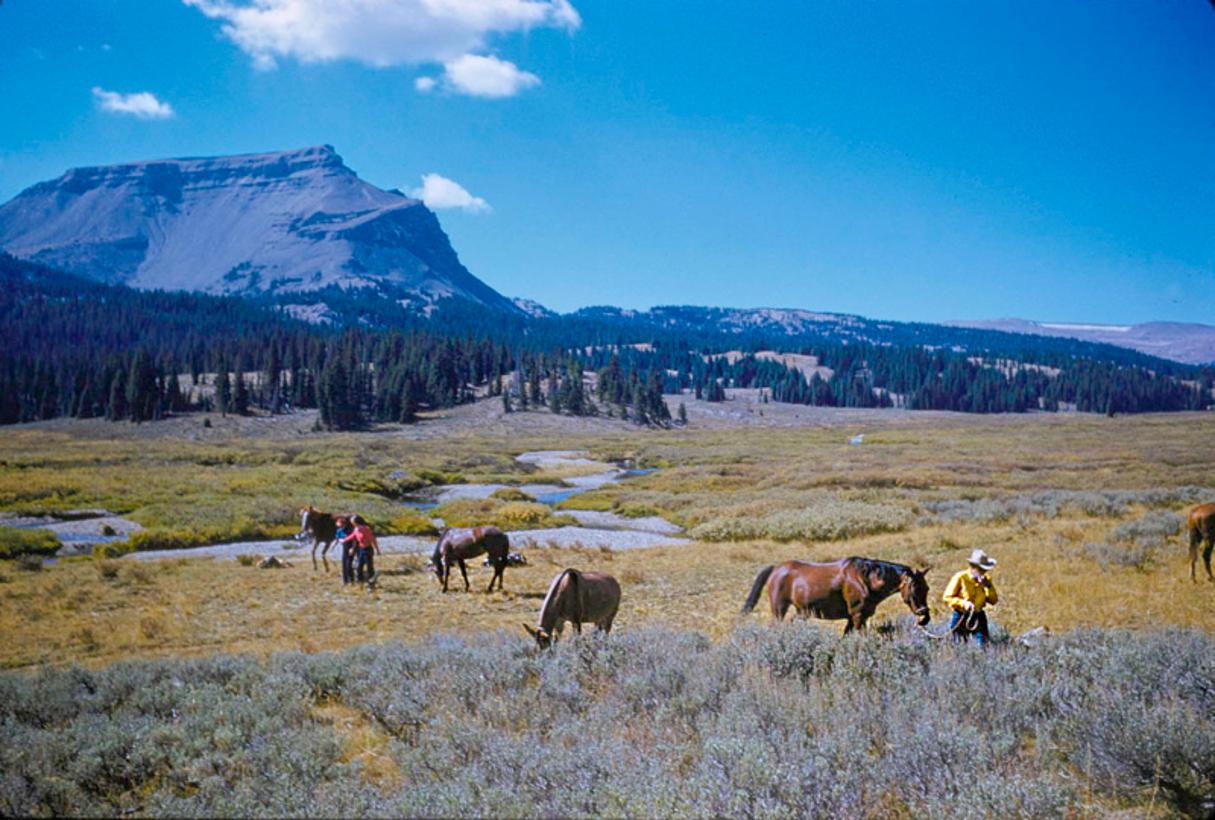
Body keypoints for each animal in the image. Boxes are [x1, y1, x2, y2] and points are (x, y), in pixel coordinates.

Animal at [738, 558, 928, 636]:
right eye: (914, 588)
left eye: (927, 588)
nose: (924, 616)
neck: (864, 578)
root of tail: (776, 569)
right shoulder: (857, 616)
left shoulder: (855, 617)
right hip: (779, 609)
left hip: (801, 612)